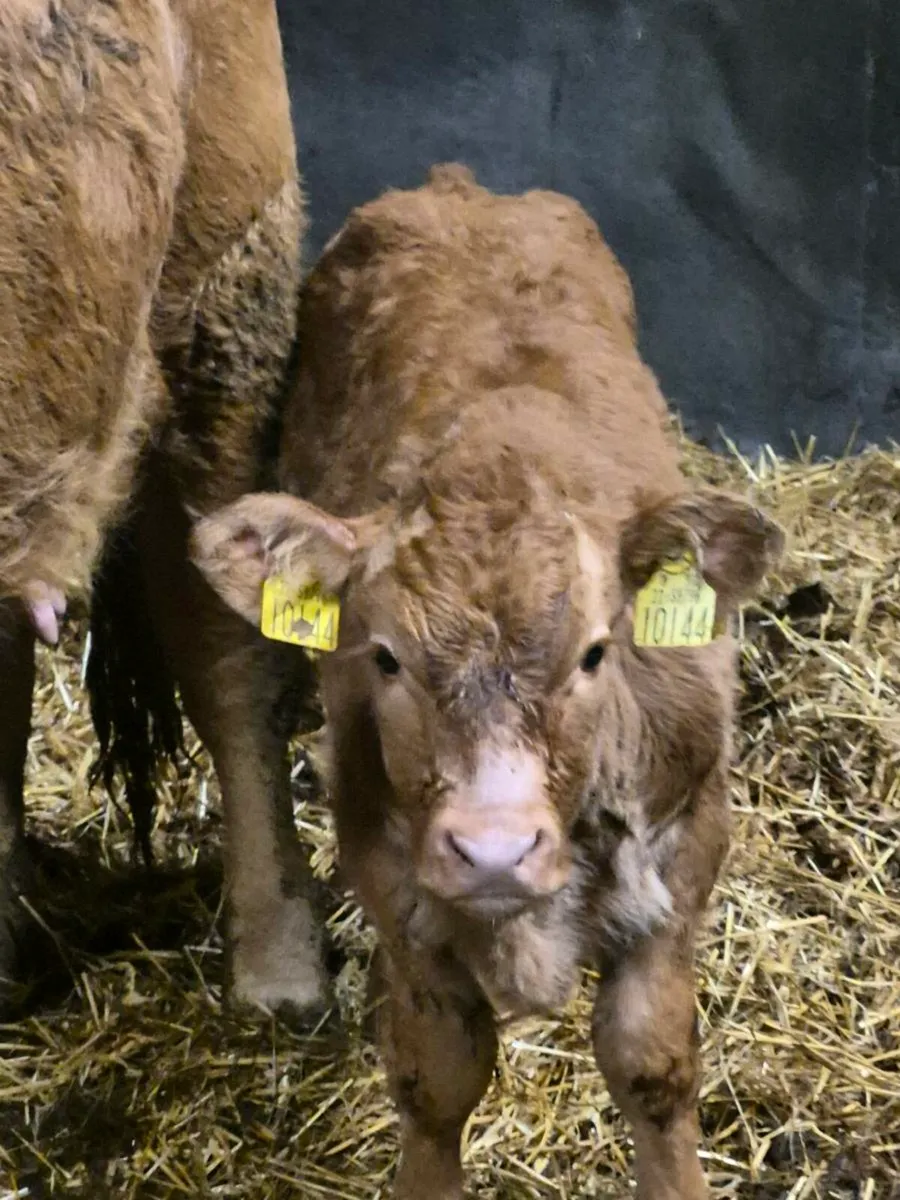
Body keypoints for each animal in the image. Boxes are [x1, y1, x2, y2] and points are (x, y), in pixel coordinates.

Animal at [191, 164, 784, 1199]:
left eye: (597, 652)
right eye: (384, 656)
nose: (496, 851)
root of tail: (462, 186)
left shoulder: (688, 845)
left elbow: (652, 1063)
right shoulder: (392, 872)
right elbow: (437, 1076)